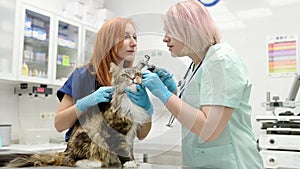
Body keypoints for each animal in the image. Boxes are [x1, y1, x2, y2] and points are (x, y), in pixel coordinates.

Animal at [0, 61, 149, 168]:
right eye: (124, 75)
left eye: (137, 73)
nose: (133, 78)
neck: (128, 100)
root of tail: (65, 151)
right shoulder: (115, 131)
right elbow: (123, 149)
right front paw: (129, 162)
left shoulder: (130, 132)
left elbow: (130, 148)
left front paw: (134, 161)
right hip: (87, 136)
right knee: (70, 160)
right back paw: (92, 162)